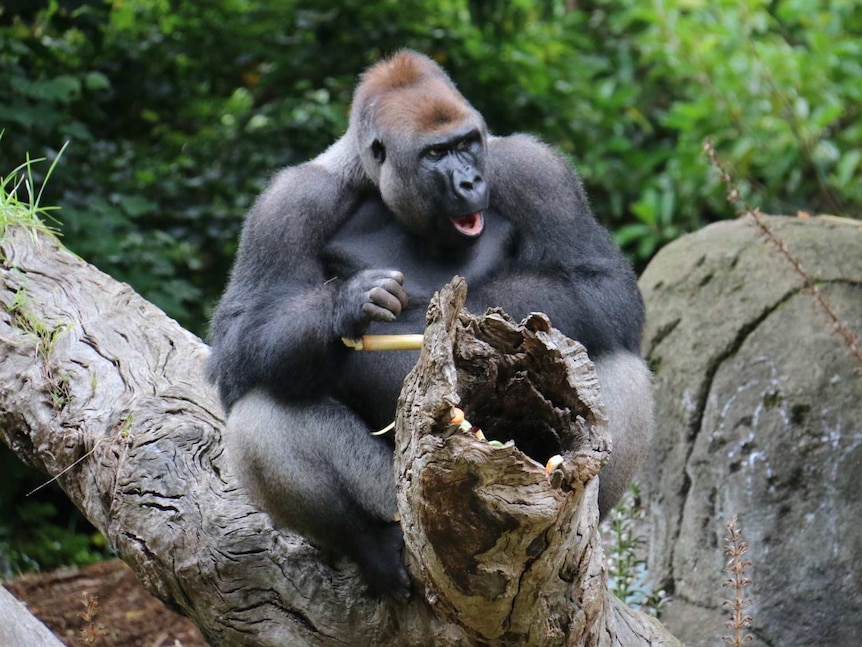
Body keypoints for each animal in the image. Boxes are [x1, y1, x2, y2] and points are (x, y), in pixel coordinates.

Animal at [209, 49, 656, 604]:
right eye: (436, 154)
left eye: (468, 144)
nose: (470, 183)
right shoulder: (287, 202)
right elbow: (239, 337)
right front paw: (346, 305)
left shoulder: (537, 170)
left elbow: (600, 283)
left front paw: (479, 318)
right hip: (407, 504)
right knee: (260, 409)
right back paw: (370, 544)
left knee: (612, 357)